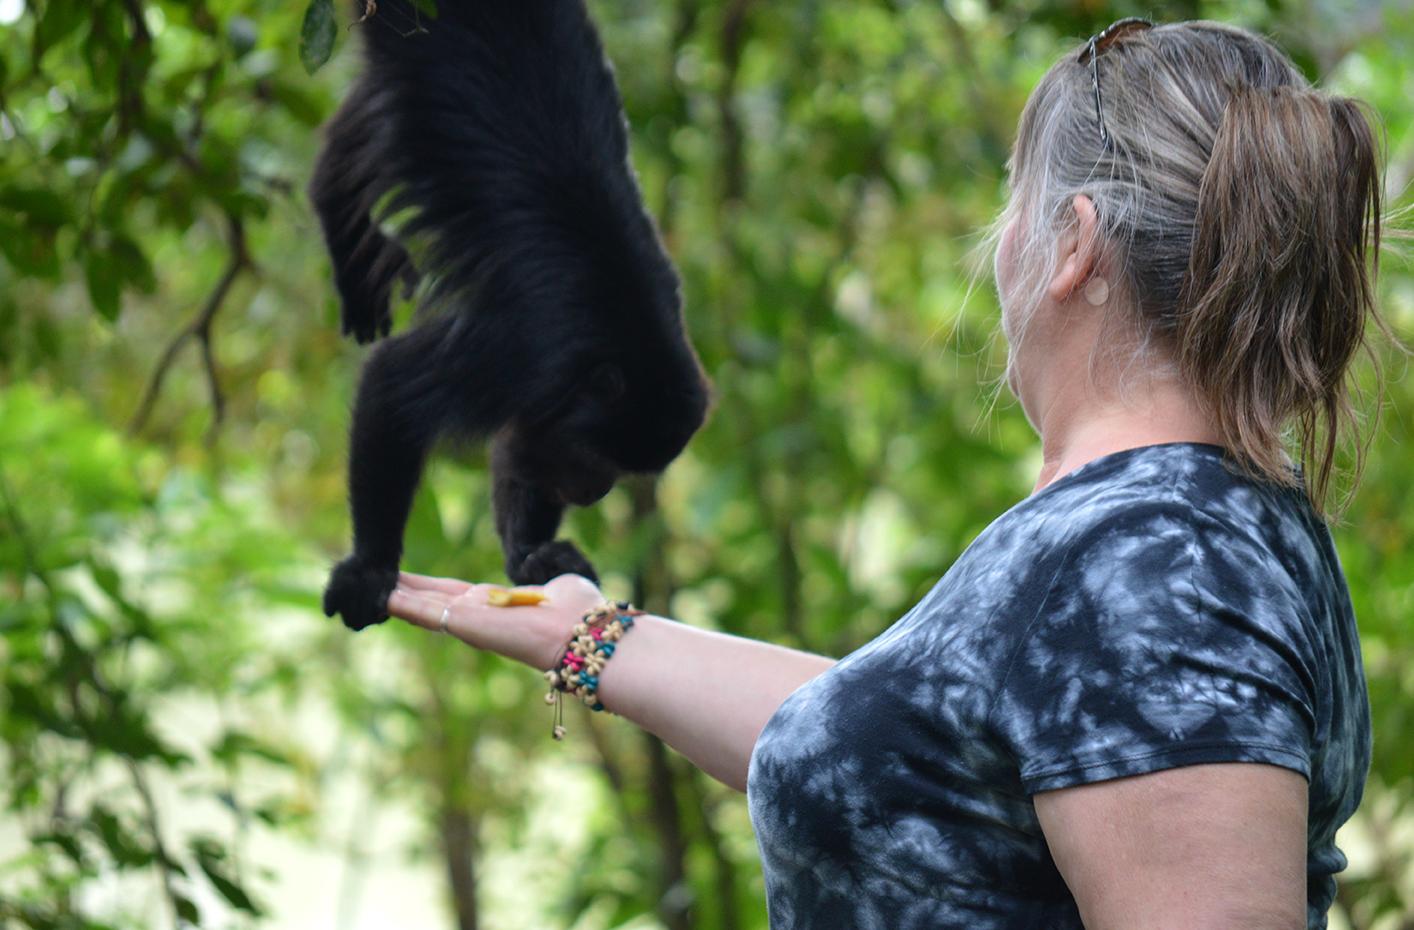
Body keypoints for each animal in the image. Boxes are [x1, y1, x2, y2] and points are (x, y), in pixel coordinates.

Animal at [309, 0, 707, 630]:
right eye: (597, 457)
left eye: (623, 473)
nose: (595, 493)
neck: (618, 345)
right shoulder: (519, 352)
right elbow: (394, 383)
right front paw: (370, 567)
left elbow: (518, 448)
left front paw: (531, 556)